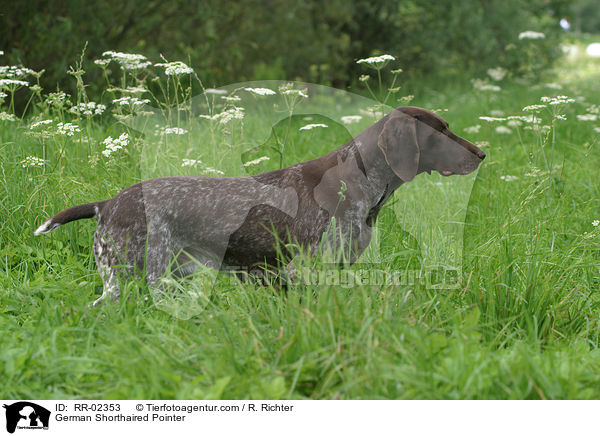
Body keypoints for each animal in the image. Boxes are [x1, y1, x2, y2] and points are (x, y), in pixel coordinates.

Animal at [32, 107, 486, 304]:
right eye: (440, 132)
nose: (482, 154)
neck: (360, 181)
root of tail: (107, 203)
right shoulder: (307, 268)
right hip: (132, 276)